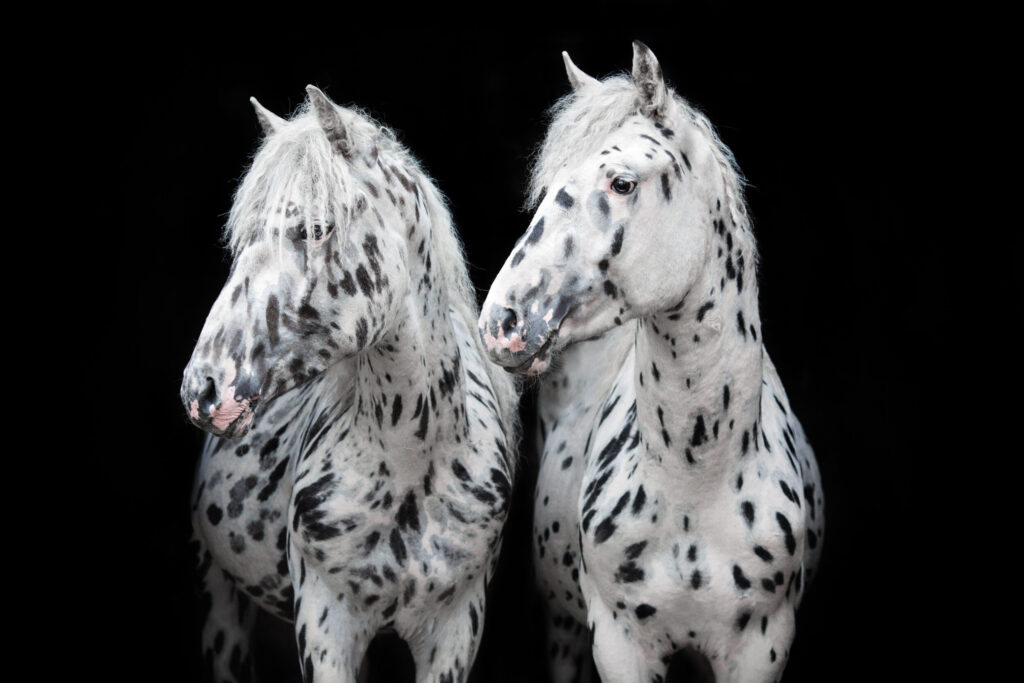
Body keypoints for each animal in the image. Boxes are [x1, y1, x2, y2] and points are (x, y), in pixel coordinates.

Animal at [180, 85, 519, 683]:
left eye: (315, 229)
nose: (203, 390)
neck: (411, 462)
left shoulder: (455, 633)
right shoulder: (326, 626)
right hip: (220, 600)